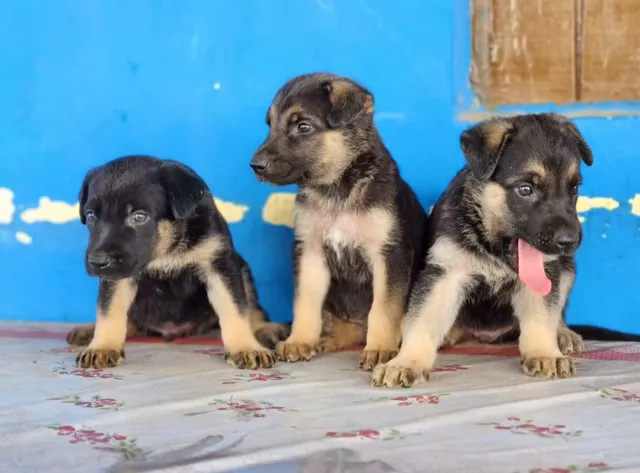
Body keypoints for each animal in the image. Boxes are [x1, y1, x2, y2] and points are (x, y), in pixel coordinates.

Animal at [65, 155, 288, 368]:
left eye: (139, 217)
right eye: (91, 216)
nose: (97, 262)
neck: (167, 250)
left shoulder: (219, 265)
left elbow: (235, 308)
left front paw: (245, 347)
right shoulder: (118, 276)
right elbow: (109, 309)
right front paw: (102, 346)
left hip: (241, 267)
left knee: (253, 308)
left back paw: (265, 329)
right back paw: (90, 330)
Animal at [251, 73, 430, 368]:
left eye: (303, 126)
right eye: (269, 124)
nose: (255, 165)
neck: (336, 189)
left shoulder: (389, 254)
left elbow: (383, 309)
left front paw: (380, 348)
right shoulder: (309, 253)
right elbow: (305, 302)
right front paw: (300, 340)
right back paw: (324, 340)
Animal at [372, 113, 604, 388]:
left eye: (574, 190)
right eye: (525, 189)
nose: (570, 242)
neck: (491, 244)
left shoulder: (546, 272)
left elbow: (541, 314)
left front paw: (545, 353)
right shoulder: (445, 274)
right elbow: (424, 320)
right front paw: (407, 362)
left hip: (567, 269)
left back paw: (562, 333)